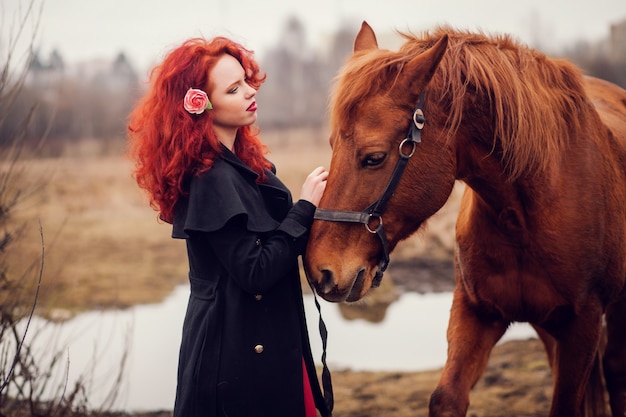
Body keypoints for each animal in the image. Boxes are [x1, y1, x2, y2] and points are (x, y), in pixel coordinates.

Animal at [304, 22, 624, 416]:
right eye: (332, 145)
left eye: (374, 157)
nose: (319, 269)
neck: (523, 214)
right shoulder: (475, 312)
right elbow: (446, 398)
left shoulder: (583, 324)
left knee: (616, 370)